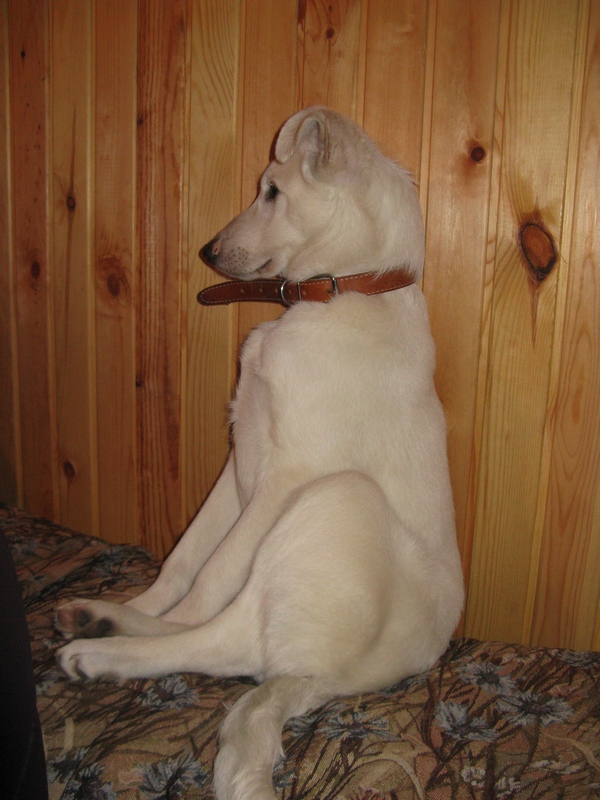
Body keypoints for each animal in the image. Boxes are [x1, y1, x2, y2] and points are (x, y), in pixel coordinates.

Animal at [56, 107, 464, 800]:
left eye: (271, 191)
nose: (208, 253)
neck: (343, 292)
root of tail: (312, 682)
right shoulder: (236, 462)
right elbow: (184, 561)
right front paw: (138, 603)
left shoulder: (282, 480)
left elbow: (210, 577)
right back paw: (102, 616)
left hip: (336, 499)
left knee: (224, 642)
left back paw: (100, 651)